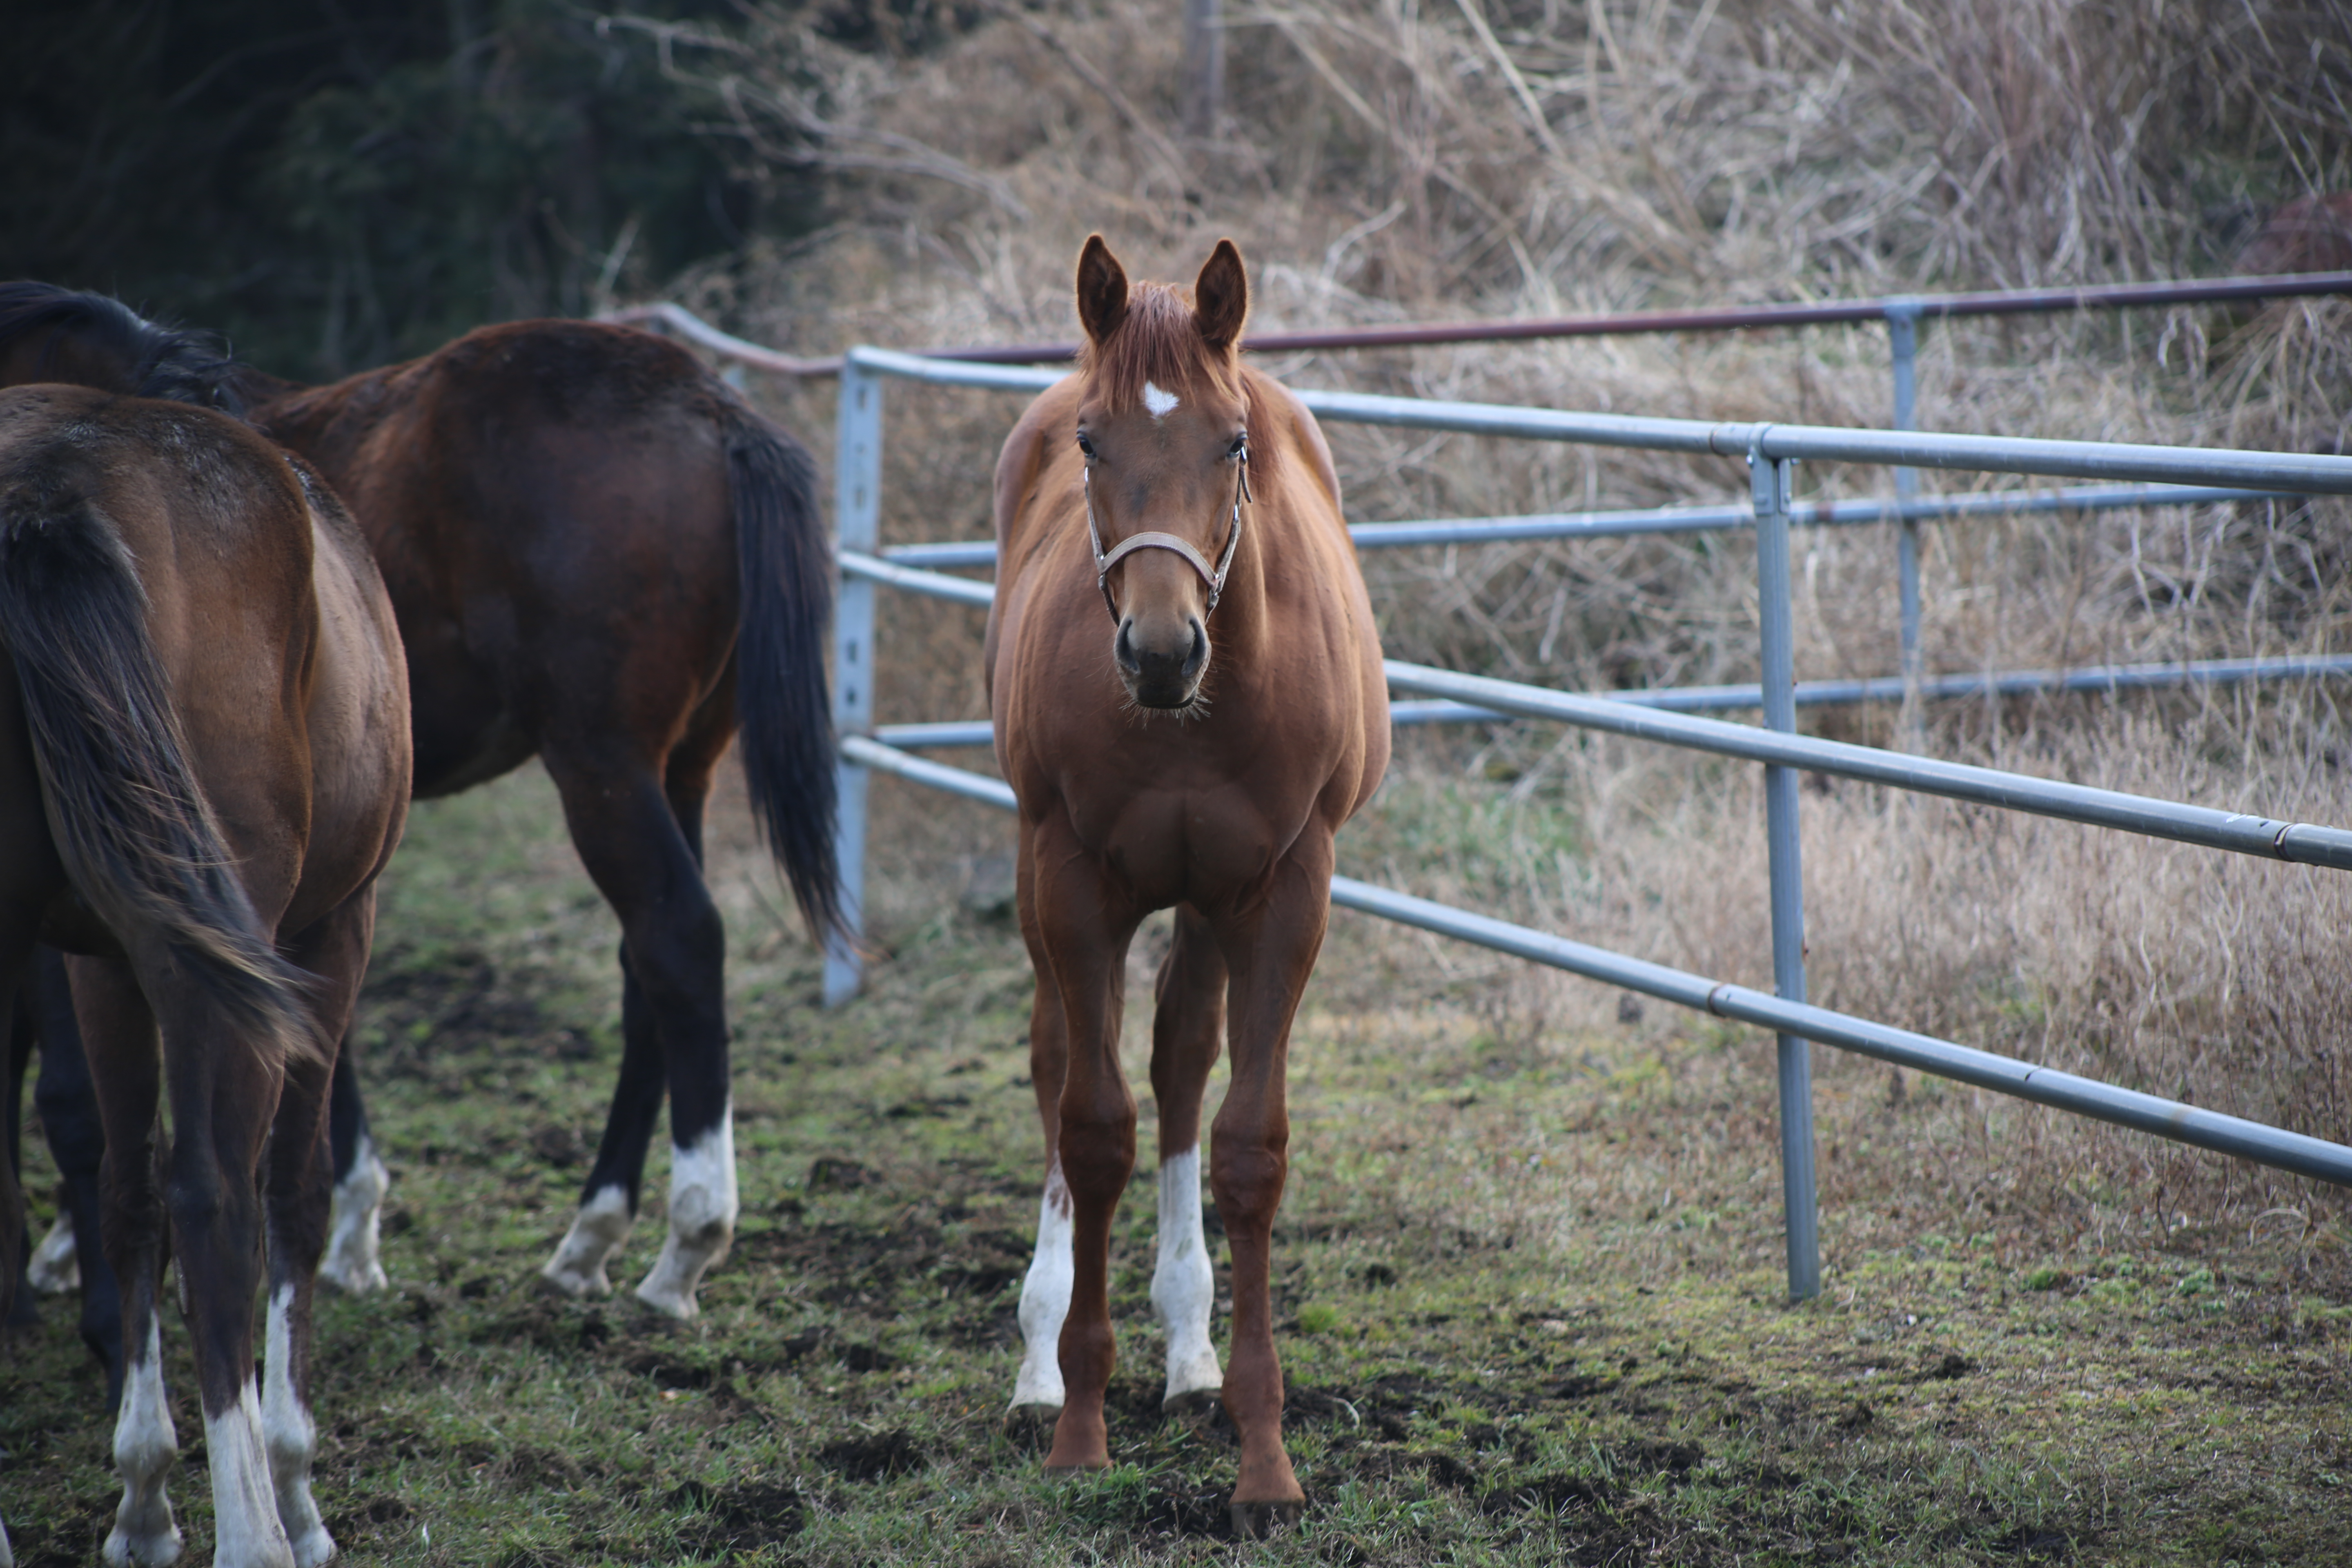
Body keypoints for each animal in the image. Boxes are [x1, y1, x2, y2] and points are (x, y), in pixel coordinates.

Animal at [0, 285, 842, 1326]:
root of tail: (708, 406)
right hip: (682, 768)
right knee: (645, 966)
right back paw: (590, 1238)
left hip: (602, 765)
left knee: (679, 941)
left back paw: (685, 1242)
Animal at [0, 383, 409, 1568]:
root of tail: (48, 490)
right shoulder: (328, 936)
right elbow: (291, 1194)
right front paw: (294, 1488)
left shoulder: (100, 960)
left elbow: (126, 1196)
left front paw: (143, 1500)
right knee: (218, 1200)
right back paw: (258, 1529)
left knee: (150, 1195)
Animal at [983, 240, 1383, 1542]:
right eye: (1093, 442)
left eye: (1232, 440)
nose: (1161, 653)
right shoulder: (1073, 884)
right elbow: (1093, 1128)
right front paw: (1078, 1427)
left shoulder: (1283, 892)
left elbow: (1245, 1146)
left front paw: (1263, 1458)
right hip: (1044, 881)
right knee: (1062, 1063)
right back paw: (1037, 1364)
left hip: (1206, 904)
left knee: (1178, 1061)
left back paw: (1191, 1355)